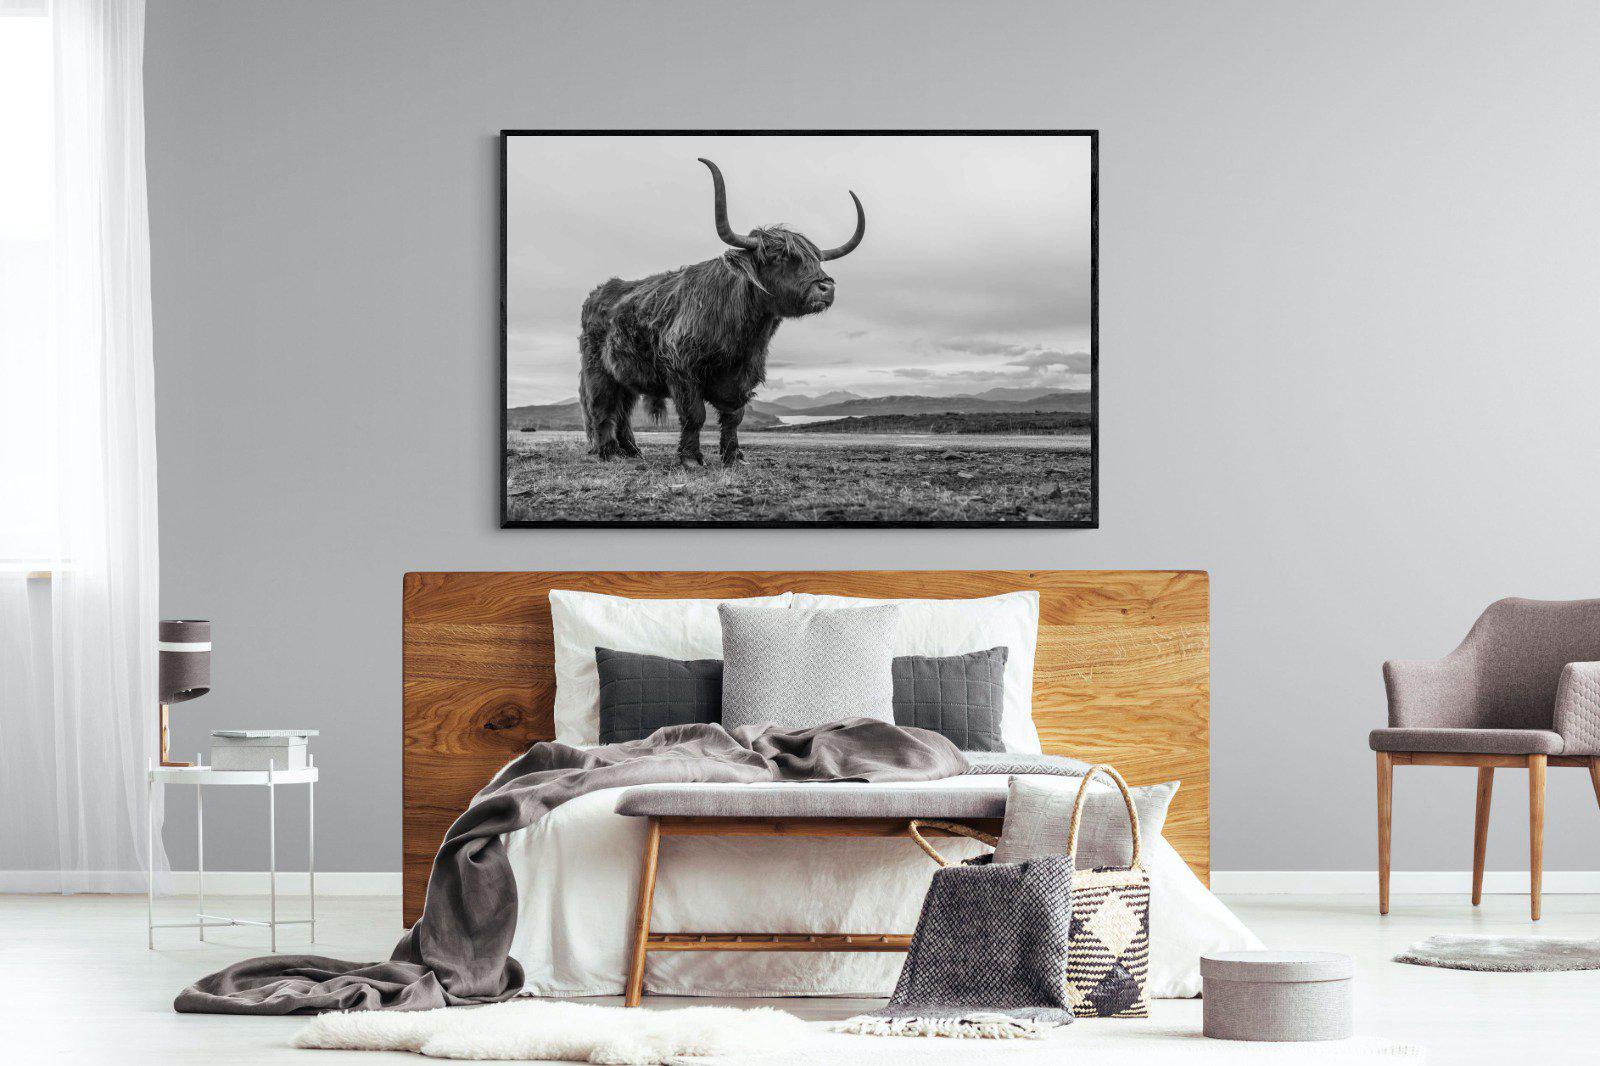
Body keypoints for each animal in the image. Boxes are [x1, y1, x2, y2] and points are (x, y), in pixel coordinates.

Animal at [577, 158, 865, 467]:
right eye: (778, 256)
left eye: (816, 259)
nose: (826, 287)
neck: (743, 335)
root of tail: (598, 293)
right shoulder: (681, 368)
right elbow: (695, 415)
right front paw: (691, 459)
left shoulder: (743, 375)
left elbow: (733, 416)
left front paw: (733, 456)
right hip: (598, 370)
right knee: (602, 406)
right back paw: (607, 451)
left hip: (626, 376)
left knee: (624, 410)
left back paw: (631, 450)